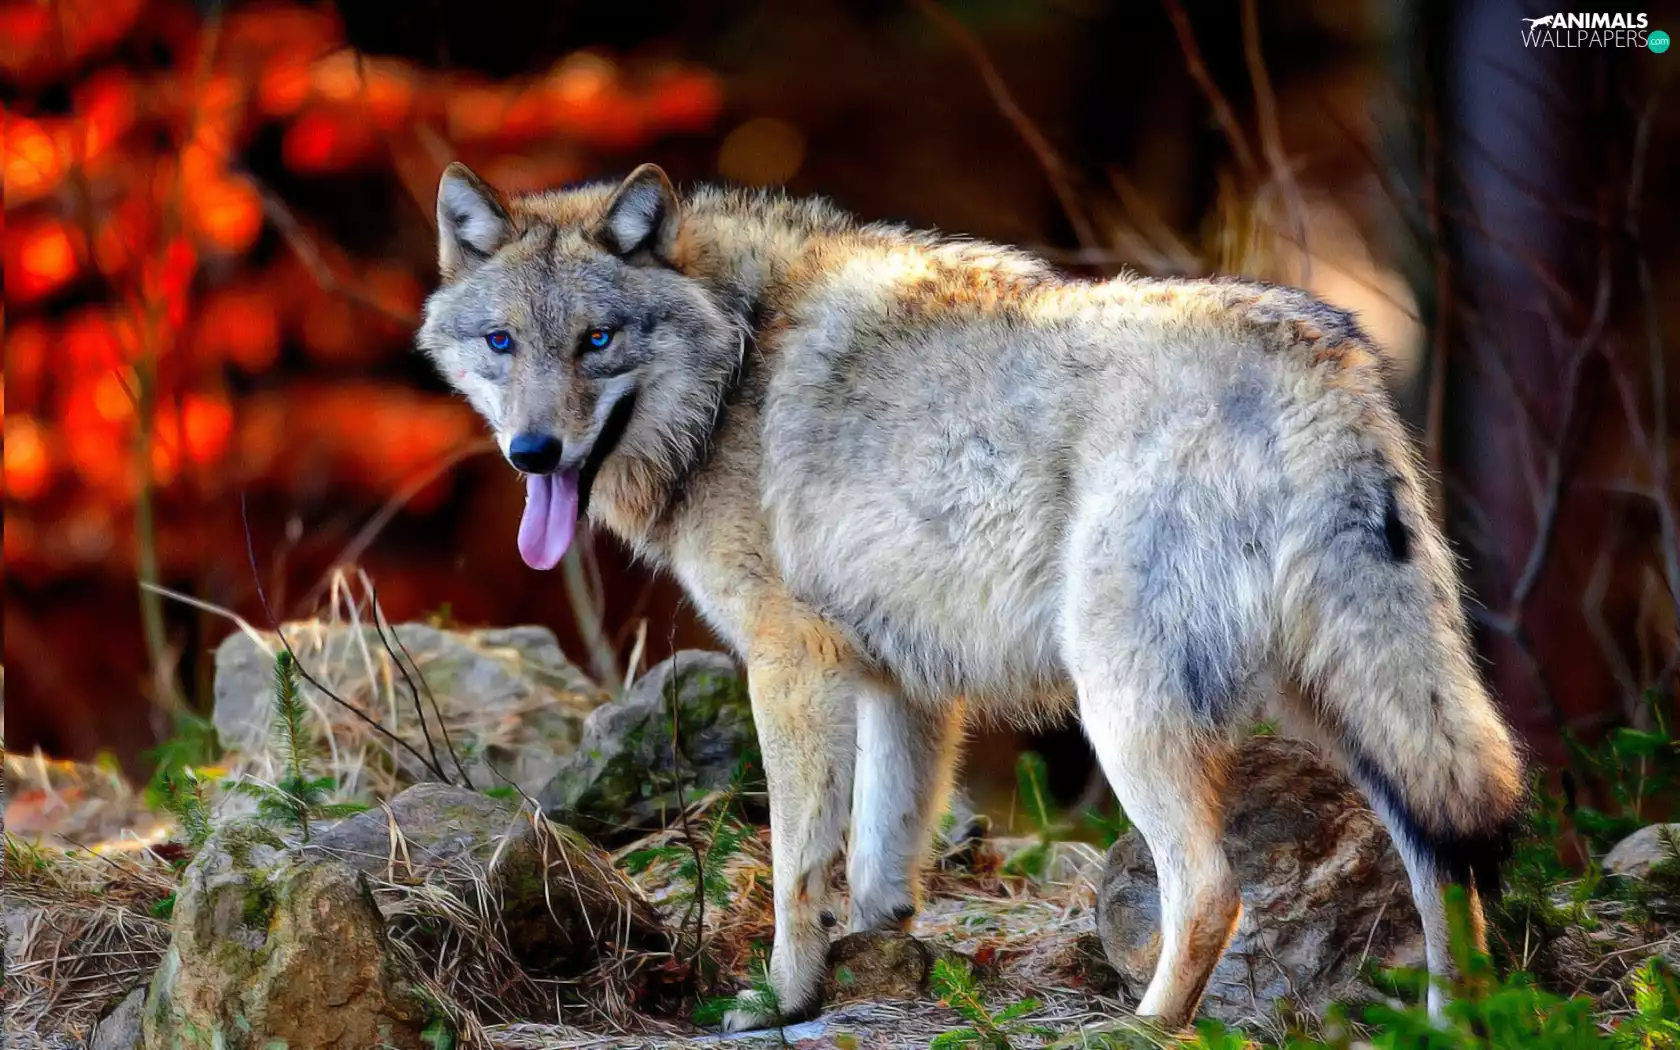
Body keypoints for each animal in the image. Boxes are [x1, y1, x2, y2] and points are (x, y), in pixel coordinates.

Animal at [418, 162, 1526, 1031]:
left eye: (597, 339)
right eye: (503, 343)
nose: (533, 452)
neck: (733, 364)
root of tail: (1324, 360)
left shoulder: (791, 667)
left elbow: (796, 864)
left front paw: (781, 998)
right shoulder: (903, 687)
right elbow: (880, 860)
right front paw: (873, 965)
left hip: (1127, 709)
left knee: (1213, 891)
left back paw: (1143, 1028)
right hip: (1350, 708)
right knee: (1447, 864)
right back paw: (1462, 1024)